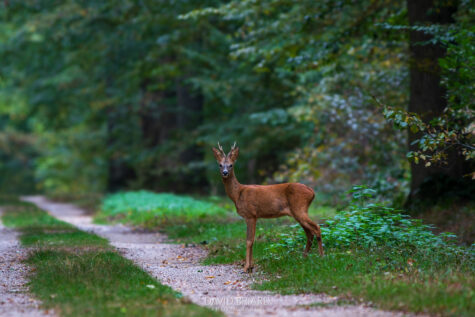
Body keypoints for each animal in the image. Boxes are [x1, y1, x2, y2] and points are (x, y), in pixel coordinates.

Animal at [214, 141, 326, 272]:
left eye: (231, 165)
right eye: (220, 165)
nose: (225, 173)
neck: (238, 194)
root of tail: (312, 192)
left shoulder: (250, 214)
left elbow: (249, 241)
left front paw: (246, 267)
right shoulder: (254, 216)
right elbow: (252, 240)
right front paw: (251, 266)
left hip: (299, 208)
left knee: (316, 227)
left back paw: (321, 256)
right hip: (298, 212)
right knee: (309, 233)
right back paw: (304, 257)